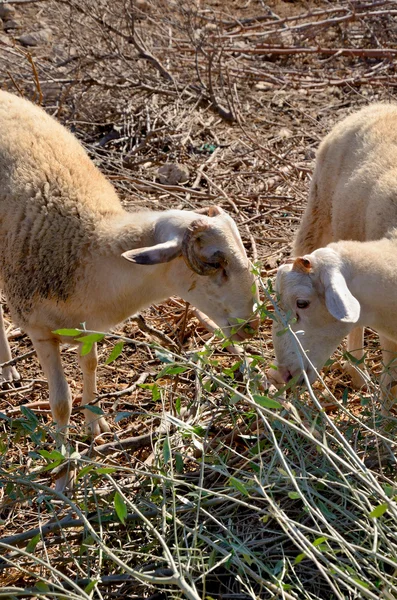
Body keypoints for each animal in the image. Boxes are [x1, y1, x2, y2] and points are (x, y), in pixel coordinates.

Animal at [0, 90, 258, 488]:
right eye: (215, 263)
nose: (253, 324)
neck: (87, 245)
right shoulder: (39, 329)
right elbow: (61, 402)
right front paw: (61, 471)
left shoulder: (88, 327)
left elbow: (90, 365)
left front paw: (96, 425)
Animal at [272, 103, 397, 412]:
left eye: (302, 303)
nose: (284, 374)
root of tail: (374, 106)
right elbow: (390, 384)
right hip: (317, 212)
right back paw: (357, 372)